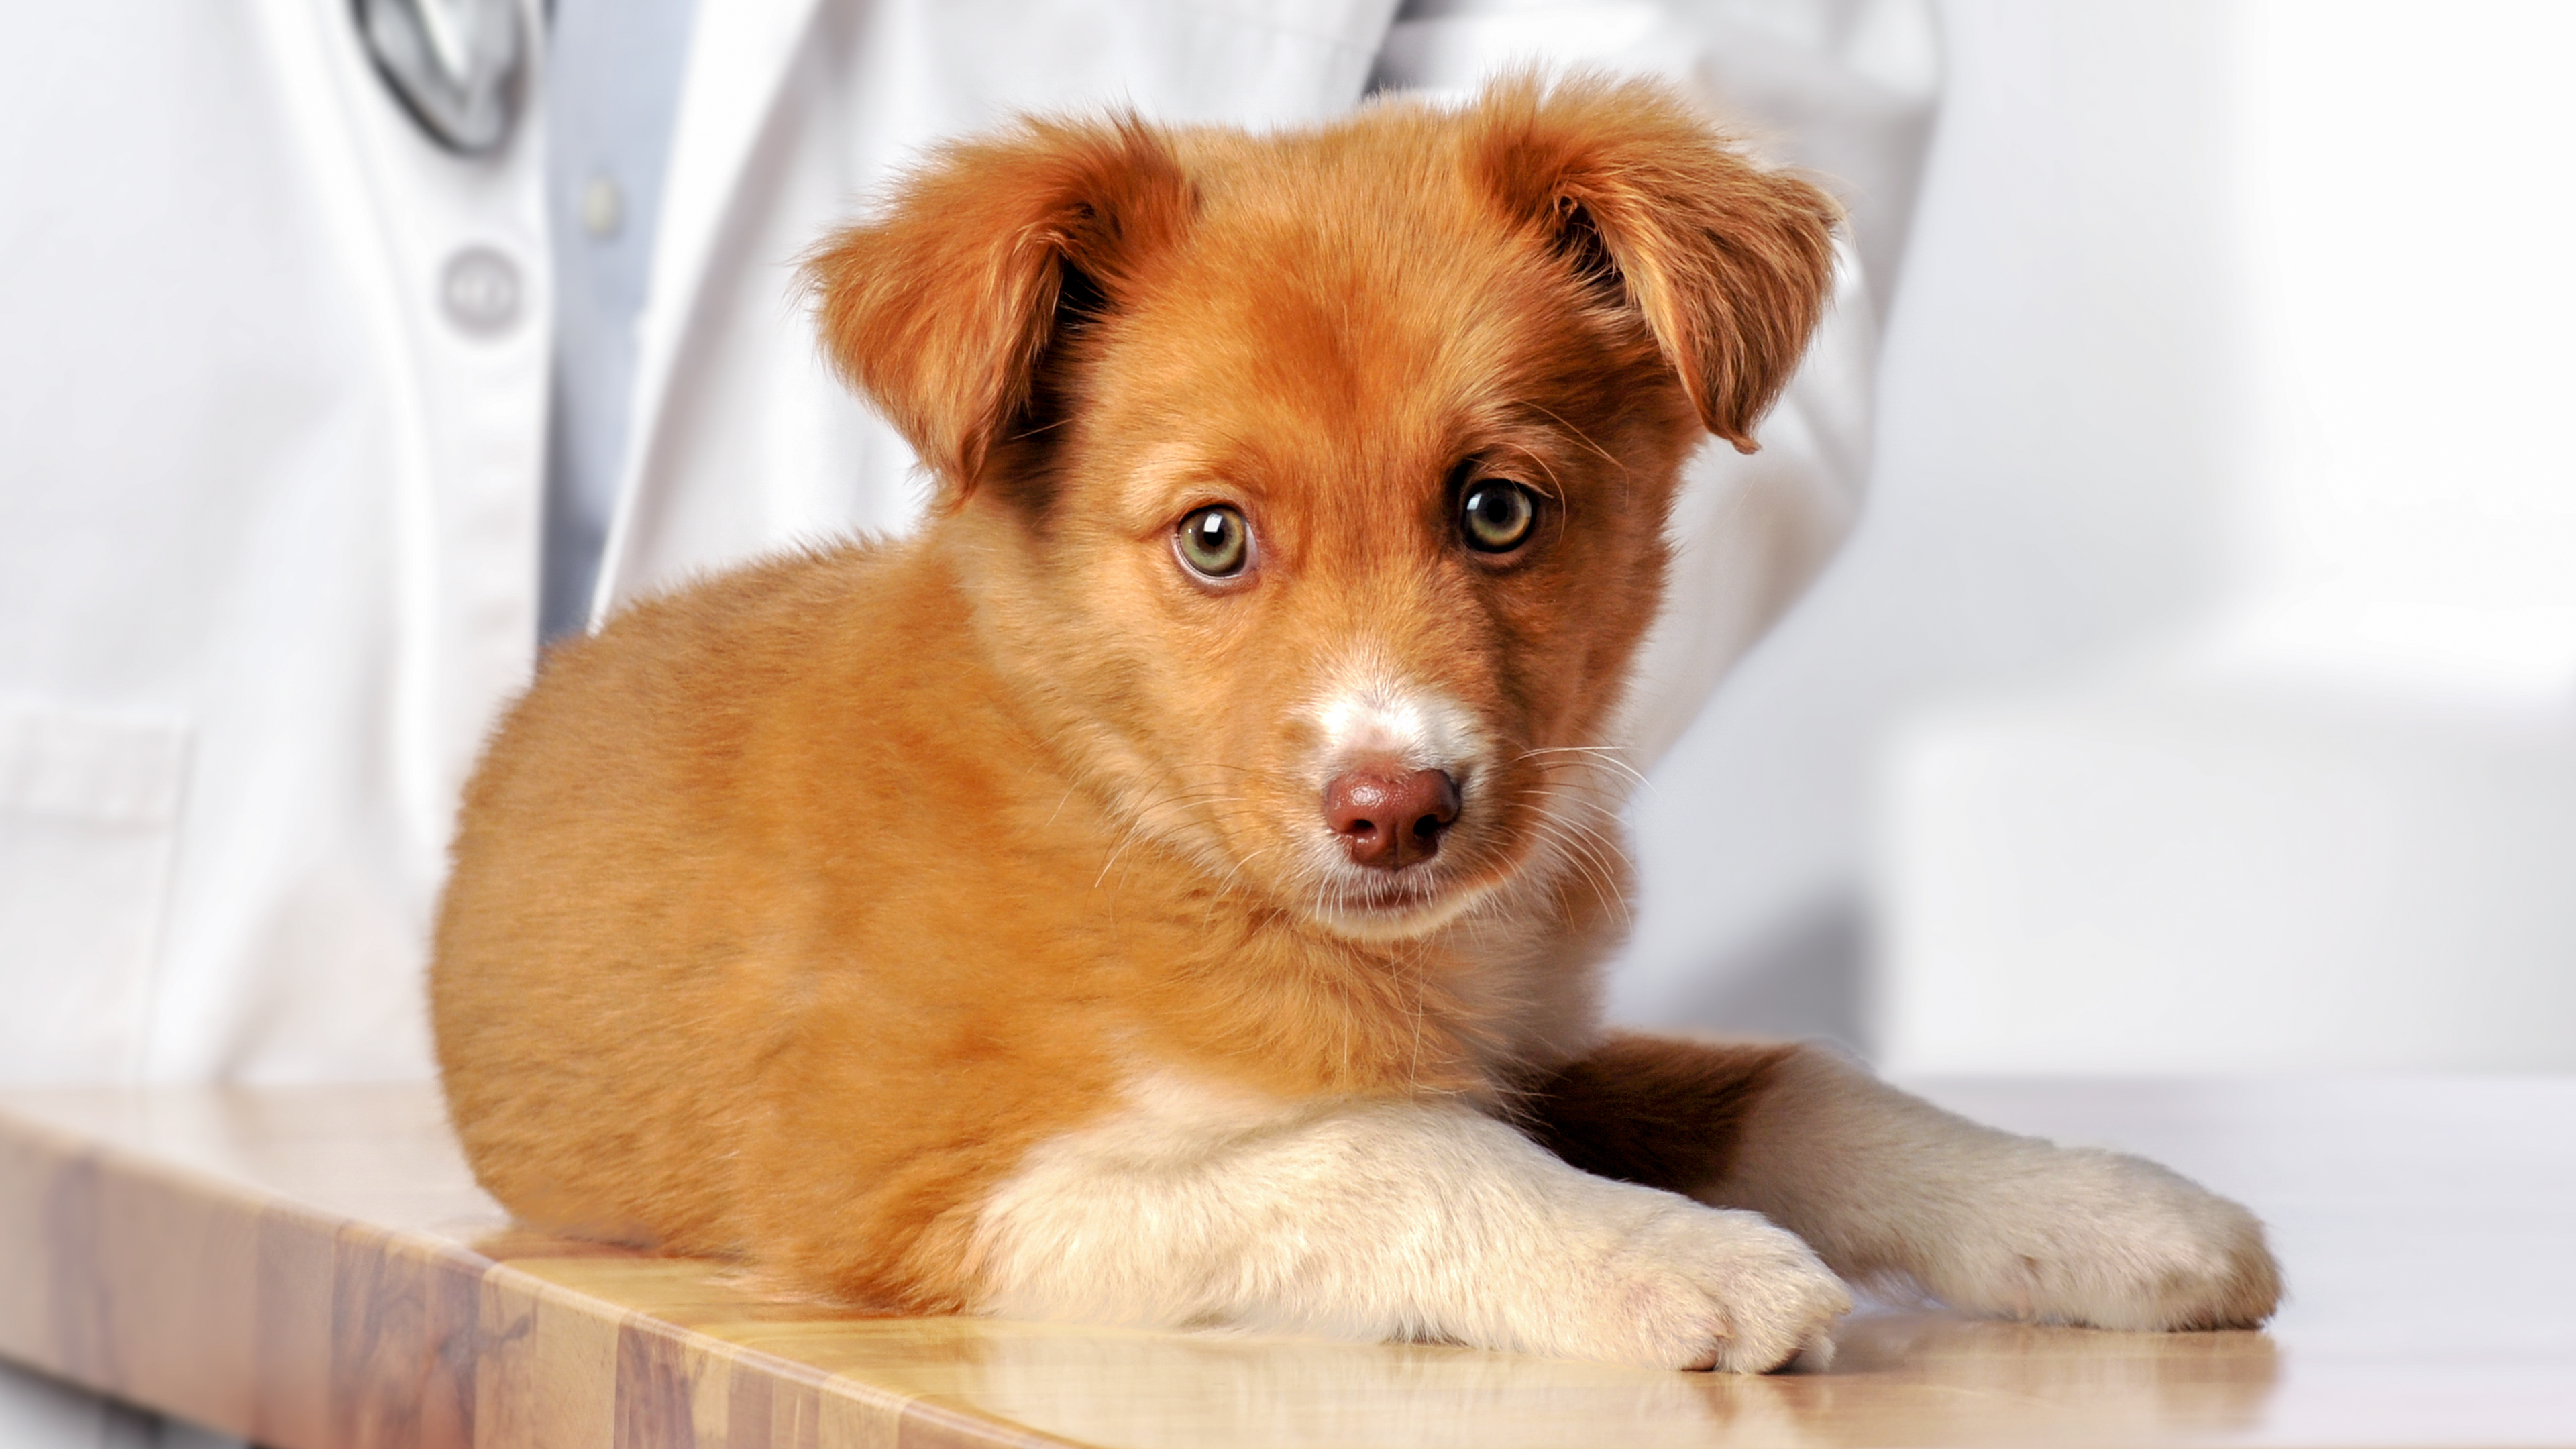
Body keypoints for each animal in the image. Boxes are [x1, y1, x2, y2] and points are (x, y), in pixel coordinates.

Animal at [433, 76, 2287, 1361]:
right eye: (1212, 539)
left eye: (1497, 510)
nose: (1396, 809)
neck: (1128, 810)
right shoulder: (913, 1183)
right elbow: (1379, 1152)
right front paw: (1665, 1254)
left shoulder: (1537, 1043)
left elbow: (1788, 1077)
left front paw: (2097, 1206)